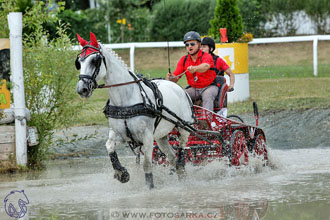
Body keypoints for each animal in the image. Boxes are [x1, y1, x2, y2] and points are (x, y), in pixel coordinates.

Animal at [75, 32, 193, 189]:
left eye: (95, 60)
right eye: (79, 62)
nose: (81, 89)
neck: (125, 100)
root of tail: (177, 87)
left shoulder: (147, 136)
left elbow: (147, 165)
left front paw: (149, 187)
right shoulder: (119, 133)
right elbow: (109, 146)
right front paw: (121, 173)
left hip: (183, 127)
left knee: (181, 147)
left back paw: (181, 168)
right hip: (161, 136)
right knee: (171, 156)